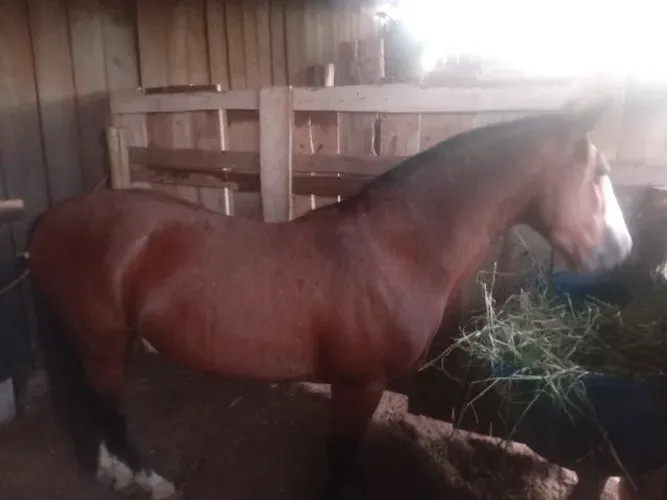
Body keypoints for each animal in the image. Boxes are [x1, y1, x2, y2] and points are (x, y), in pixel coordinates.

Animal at [19, 98, 632, 500]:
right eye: (600, 172)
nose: (621, 251)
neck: (396, 248)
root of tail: (52, 219)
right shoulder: (359, 385)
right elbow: (338, 460)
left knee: (91, 405)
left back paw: (113, 470)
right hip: (102, 339)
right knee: (109, 409)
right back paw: (150, 479)